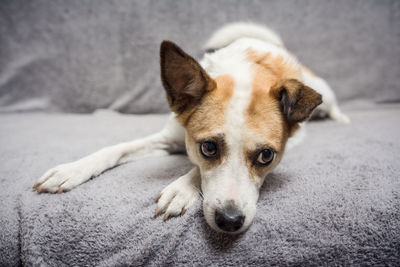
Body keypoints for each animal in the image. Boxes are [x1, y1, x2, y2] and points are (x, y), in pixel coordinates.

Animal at [32, 23, 348, 234]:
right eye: (208, 147)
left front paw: (181, 189)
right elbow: (116, 149)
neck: (246, 76)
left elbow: (194, 170)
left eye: (266, 156)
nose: (230, 221)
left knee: (332, 106)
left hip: (322, 89)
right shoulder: (170, 137)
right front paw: (72, 170)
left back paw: (341, 119)